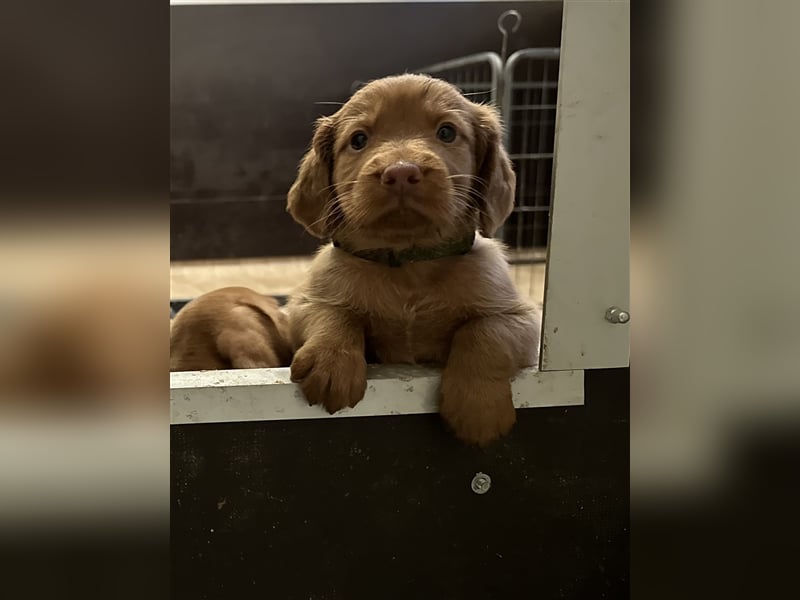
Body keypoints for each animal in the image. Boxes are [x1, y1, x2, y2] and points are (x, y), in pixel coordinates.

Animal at [284, 72, 540, 446]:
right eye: (358, 140)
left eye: (447, 132)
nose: (401, 172)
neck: (409, 265)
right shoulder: (305, 303)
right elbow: (333, 315)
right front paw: (332, 363)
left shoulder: (522, 317)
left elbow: (485, 332)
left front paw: (478, 406)